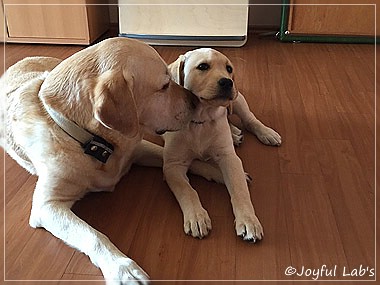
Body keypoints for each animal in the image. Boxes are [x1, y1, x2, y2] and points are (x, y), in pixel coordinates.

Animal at [0, 38, 220, 284]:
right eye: (164, 86)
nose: (196, 101)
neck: (96, 143)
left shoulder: (136, 149)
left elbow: (172, 158)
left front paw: (214, 170)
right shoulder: (47, 206)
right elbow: (92, 235)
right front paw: (123, 268)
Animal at [165, 48, 280, 242]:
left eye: (229, 68)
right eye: (203, 66)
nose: (227, 82)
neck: (200, 121)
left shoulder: (230, 159)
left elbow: (239, 190)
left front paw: (248, 221)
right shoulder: (173, 165)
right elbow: (187, 190)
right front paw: (196, 217)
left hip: (238, 99)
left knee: (248, 119)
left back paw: (264, 133)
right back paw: (234, 133)